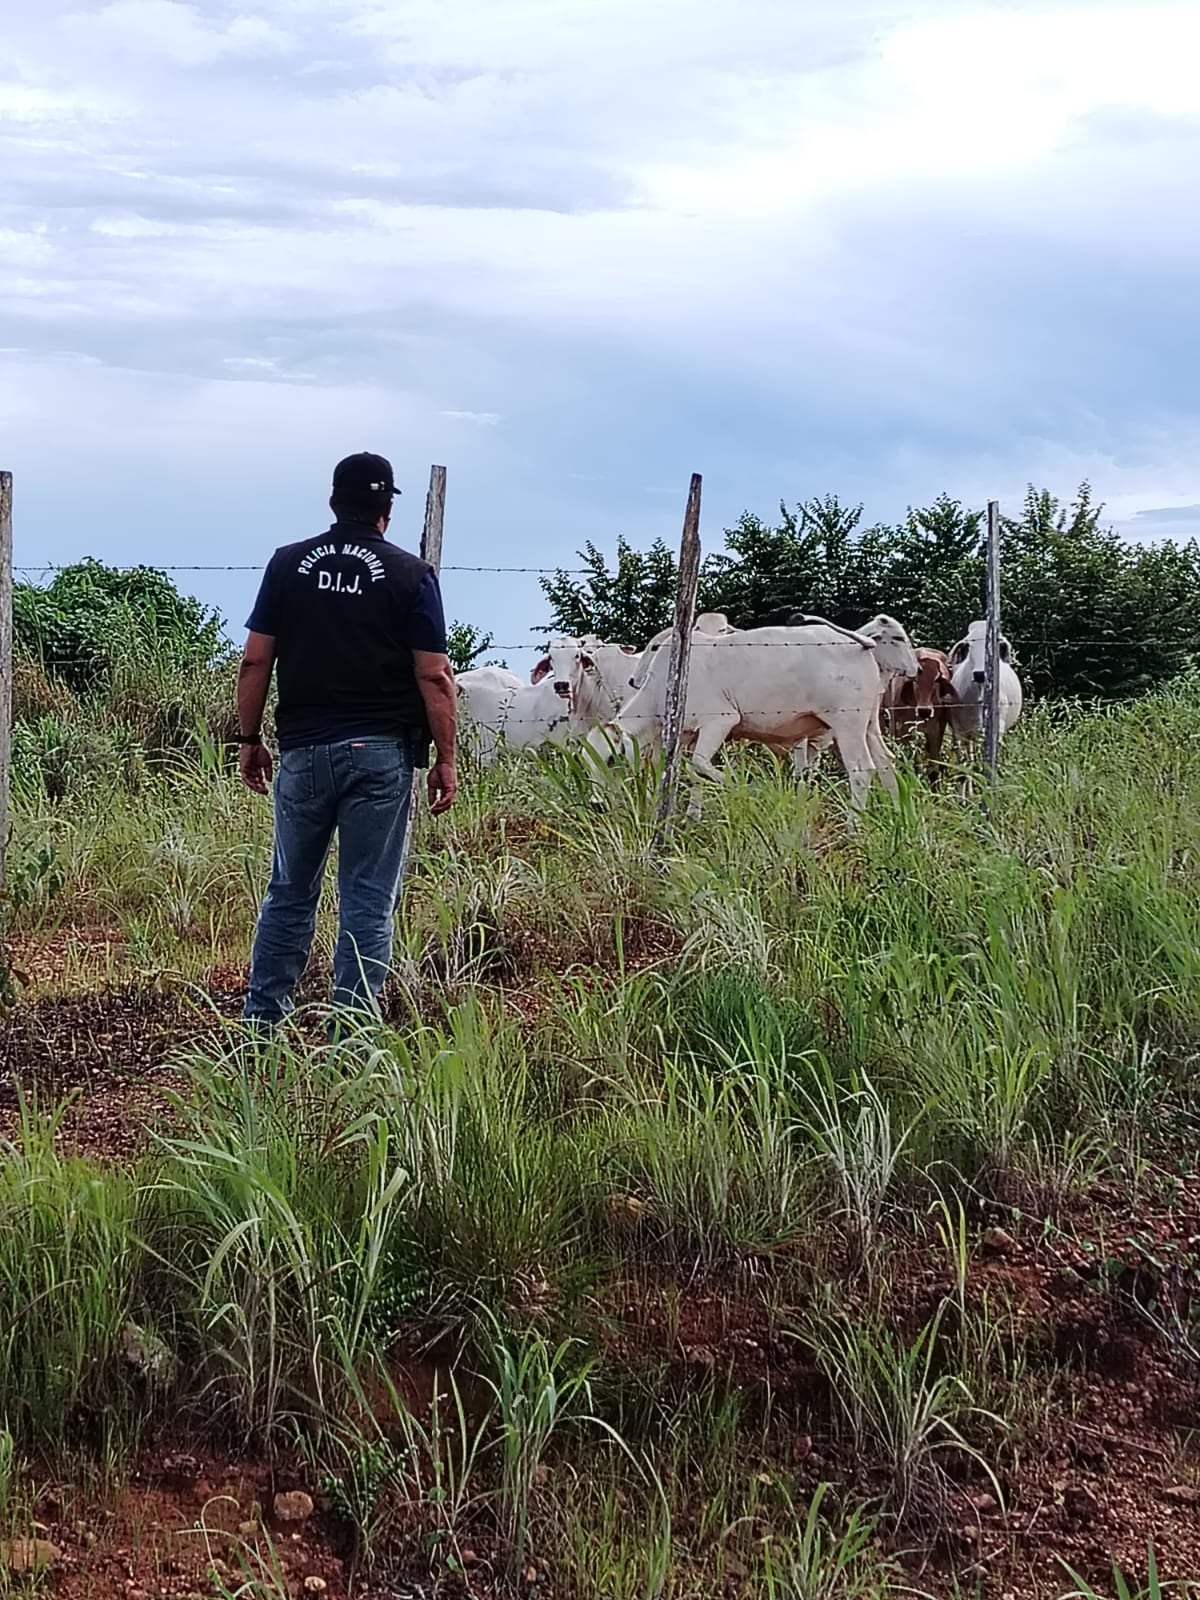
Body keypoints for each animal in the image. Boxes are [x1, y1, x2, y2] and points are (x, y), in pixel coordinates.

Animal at [588, 614, 908, 806]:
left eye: (611, 759)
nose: (596, 804)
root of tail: (861, 642)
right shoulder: (686, 735)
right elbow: (691, 774)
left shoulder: (719, 722)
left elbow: (699, 766)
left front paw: (749, 789)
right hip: (867, 726)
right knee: (885, 764)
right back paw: (897, 812)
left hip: (847, 725)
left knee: (861, 772)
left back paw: (854, 827)